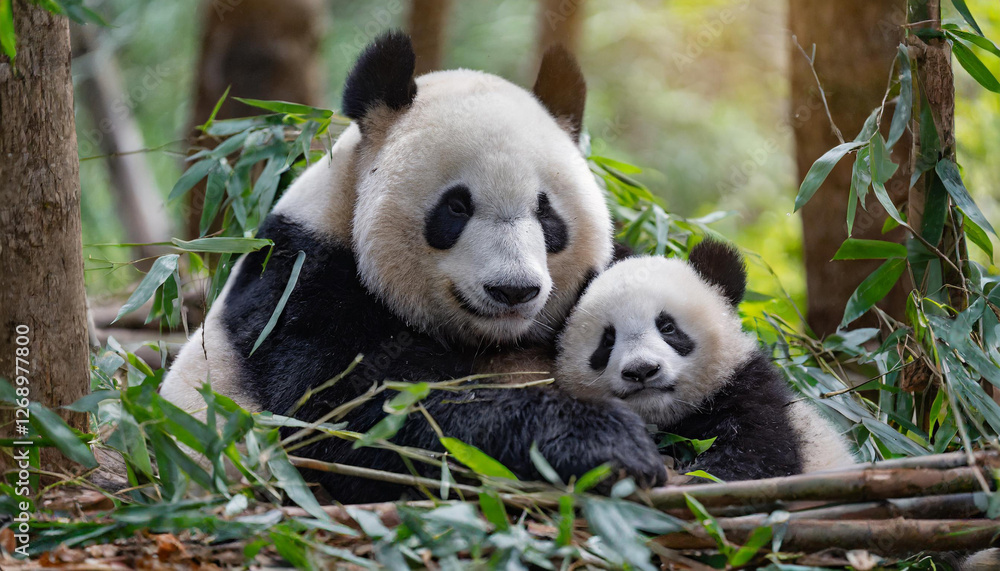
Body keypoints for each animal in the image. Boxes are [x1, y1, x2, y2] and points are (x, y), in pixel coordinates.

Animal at [159, 31, 666, 503]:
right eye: (456, 207)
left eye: (546, 212)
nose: (513, 290)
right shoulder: (301, 286)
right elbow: (354, 419)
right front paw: (606, 441)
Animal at [554, 241, 856, 481]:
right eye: (607, 340)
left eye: (668, 327)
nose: (642, 370)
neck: (667, 419)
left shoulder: (750, 393)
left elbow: (754, 459)